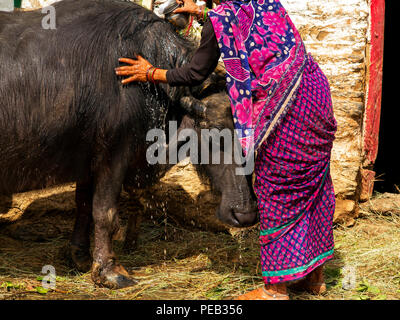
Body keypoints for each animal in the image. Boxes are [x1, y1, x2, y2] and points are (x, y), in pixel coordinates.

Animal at [0, 0, 256, 288]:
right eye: (211, 132)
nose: (244, 214)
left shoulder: (89, 160)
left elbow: (84, 206)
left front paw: (80, 256)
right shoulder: (114, 155)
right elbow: (105, 213)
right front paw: (109, 271)